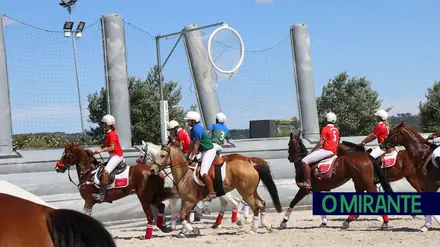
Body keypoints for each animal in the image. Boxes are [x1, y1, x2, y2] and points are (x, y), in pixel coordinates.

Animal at [151, 146, 282, 236]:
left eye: (162, 155)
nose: (152, 169)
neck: (184, 174)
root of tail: (250, 163)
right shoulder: (187, 201)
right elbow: (185, 216)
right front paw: (183, 232)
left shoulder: (190, 201)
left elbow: (183, 216)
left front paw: (193, 230)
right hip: (252, 191)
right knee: (261, 204)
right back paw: (266, 226)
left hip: (246, 193)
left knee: (255, 207)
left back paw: (252, 229)